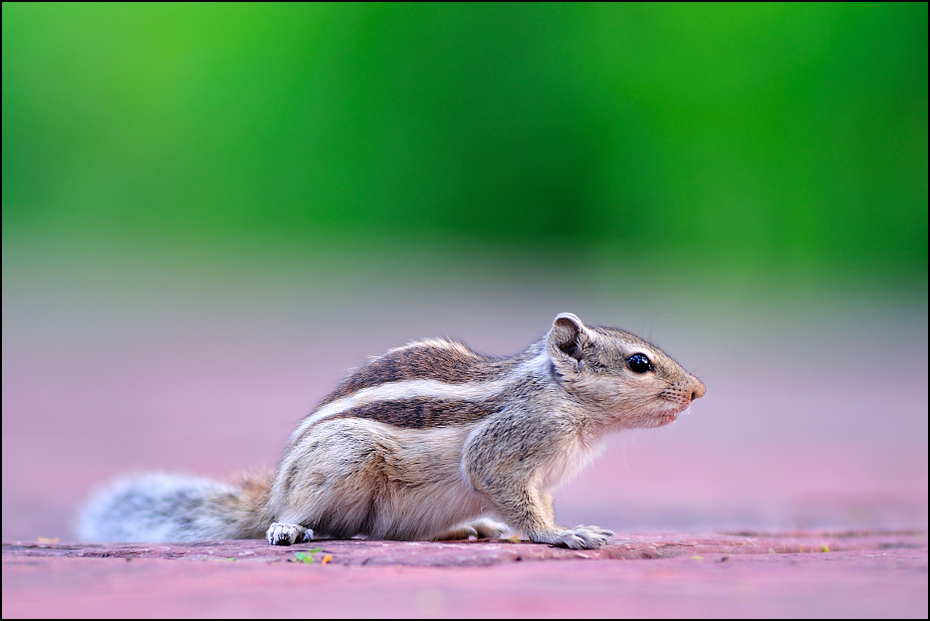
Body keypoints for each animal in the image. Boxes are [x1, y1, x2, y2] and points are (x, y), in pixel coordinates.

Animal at [80, 312, 704, 548]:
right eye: (639, 363)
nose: (698, 391)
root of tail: (276, 490)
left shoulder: (543, 477)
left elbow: (538, 503)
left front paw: (561, 525)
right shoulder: (505, 448)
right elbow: (514, 497)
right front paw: (559, 536)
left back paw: (471, 528)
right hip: (343, 459)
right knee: (307, 519)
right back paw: (287, 527)